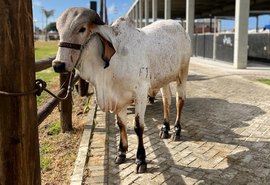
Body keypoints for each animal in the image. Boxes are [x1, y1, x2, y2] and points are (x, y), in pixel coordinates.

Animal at [52, 6, 191, 172]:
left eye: (82, 29)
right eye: (58, 30)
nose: (58, 65)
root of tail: (179, 26)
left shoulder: (140, 93)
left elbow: (138, 127)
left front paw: (141, 159)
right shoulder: (118, 98)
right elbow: (121, 124)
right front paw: (121, 152)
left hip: (182, 74)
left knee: (180, 101)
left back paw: (176, 130)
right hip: (164, 79)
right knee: (166, 101)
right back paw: (164, 129)